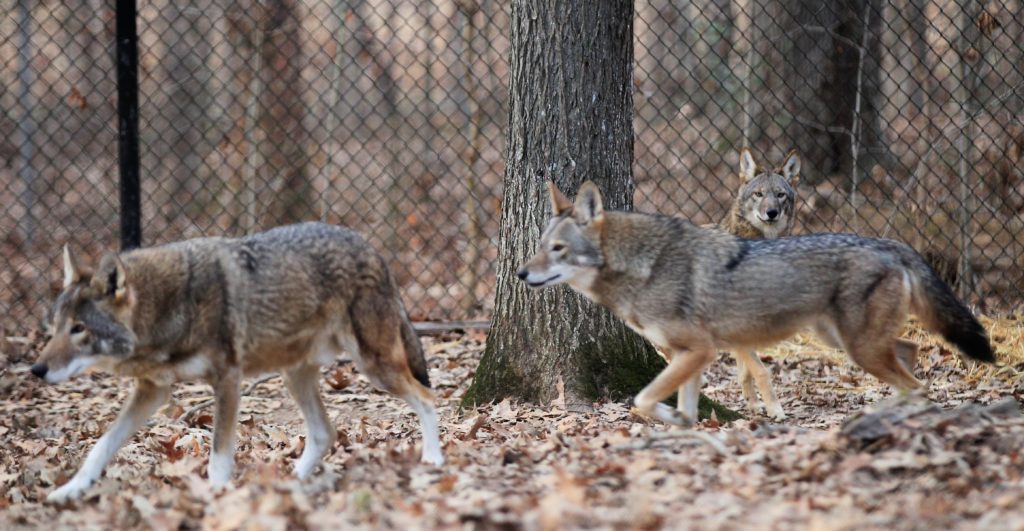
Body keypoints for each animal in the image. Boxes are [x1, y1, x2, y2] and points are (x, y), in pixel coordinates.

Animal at [30, 222, 443, 503]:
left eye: (79, 329)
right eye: (55, 327)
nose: (37, 370)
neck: (168, 305)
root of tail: (371, 247)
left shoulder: (227, 380)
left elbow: (218, 457)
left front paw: (214, 498)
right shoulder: (153, 390)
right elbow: (101, 445)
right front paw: (70, 490)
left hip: (375, 366)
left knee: (426, 397)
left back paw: (434, 461)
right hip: (295, 376)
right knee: (325, 432)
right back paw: (287, 483)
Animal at [518, 181, 994, 427]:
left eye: (558, 249)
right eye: (540, 247)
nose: (521, 274)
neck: (642, 267)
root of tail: (889, 242)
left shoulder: (699, 351)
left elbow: (642, 400)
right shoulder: (689, 355)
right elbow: (680, 409)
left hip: (857, 347)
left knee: (916, 383)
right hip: (844, 342)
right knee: (911, 355)